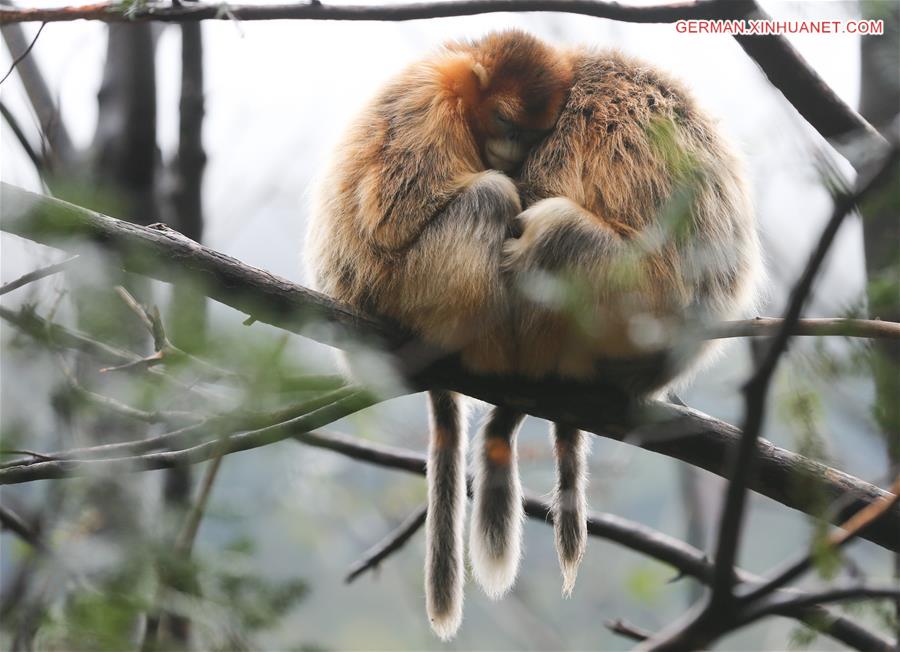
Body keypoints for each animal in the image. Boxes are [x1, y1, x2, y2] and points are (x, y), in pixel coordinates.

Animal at [304, 30, 573, 640]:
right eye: (506, 121)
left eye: (531, 133)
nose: (513, 152)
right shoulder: (430, 106)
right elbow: (394, 214)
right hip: (406, 286)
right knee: (489, 195)